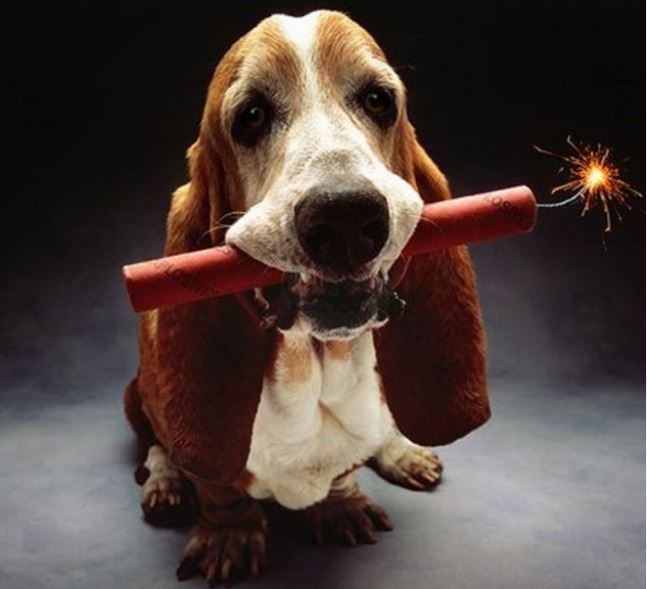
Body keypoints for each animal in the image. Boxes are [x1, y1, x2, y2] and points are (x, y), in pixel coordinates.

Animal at [124, 10, 489, 585]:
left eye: (379, 100)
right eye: (250, 116)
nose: (345, 217)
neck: (313, 367)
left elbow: (346, 469)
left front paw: (341, 505)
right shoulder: (207, 457)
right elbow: (219, 488)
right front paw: (229, 538)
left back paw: (404, 452)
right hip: (135, 392)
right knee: (156, 446)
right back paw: (164, 485)